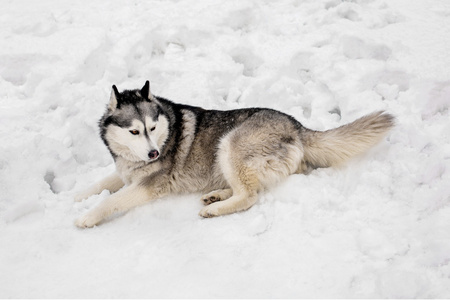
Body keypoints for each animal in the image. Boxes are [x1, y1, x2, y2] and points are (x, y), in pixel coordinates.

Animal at [75, 81, 396, 227]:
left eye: (152, 127)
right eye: (134, 132)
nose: (154, 153)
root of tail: (297, 125)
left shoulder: (149, 185)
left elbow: (113, 200)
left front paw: (86, 217)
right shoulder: (126, 170)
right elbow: (102, 183)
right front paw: (77, 196)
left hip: (230, 144)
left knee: (249, 196)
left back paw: (215, 208)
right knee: (248, 188)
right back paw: (216, 195)